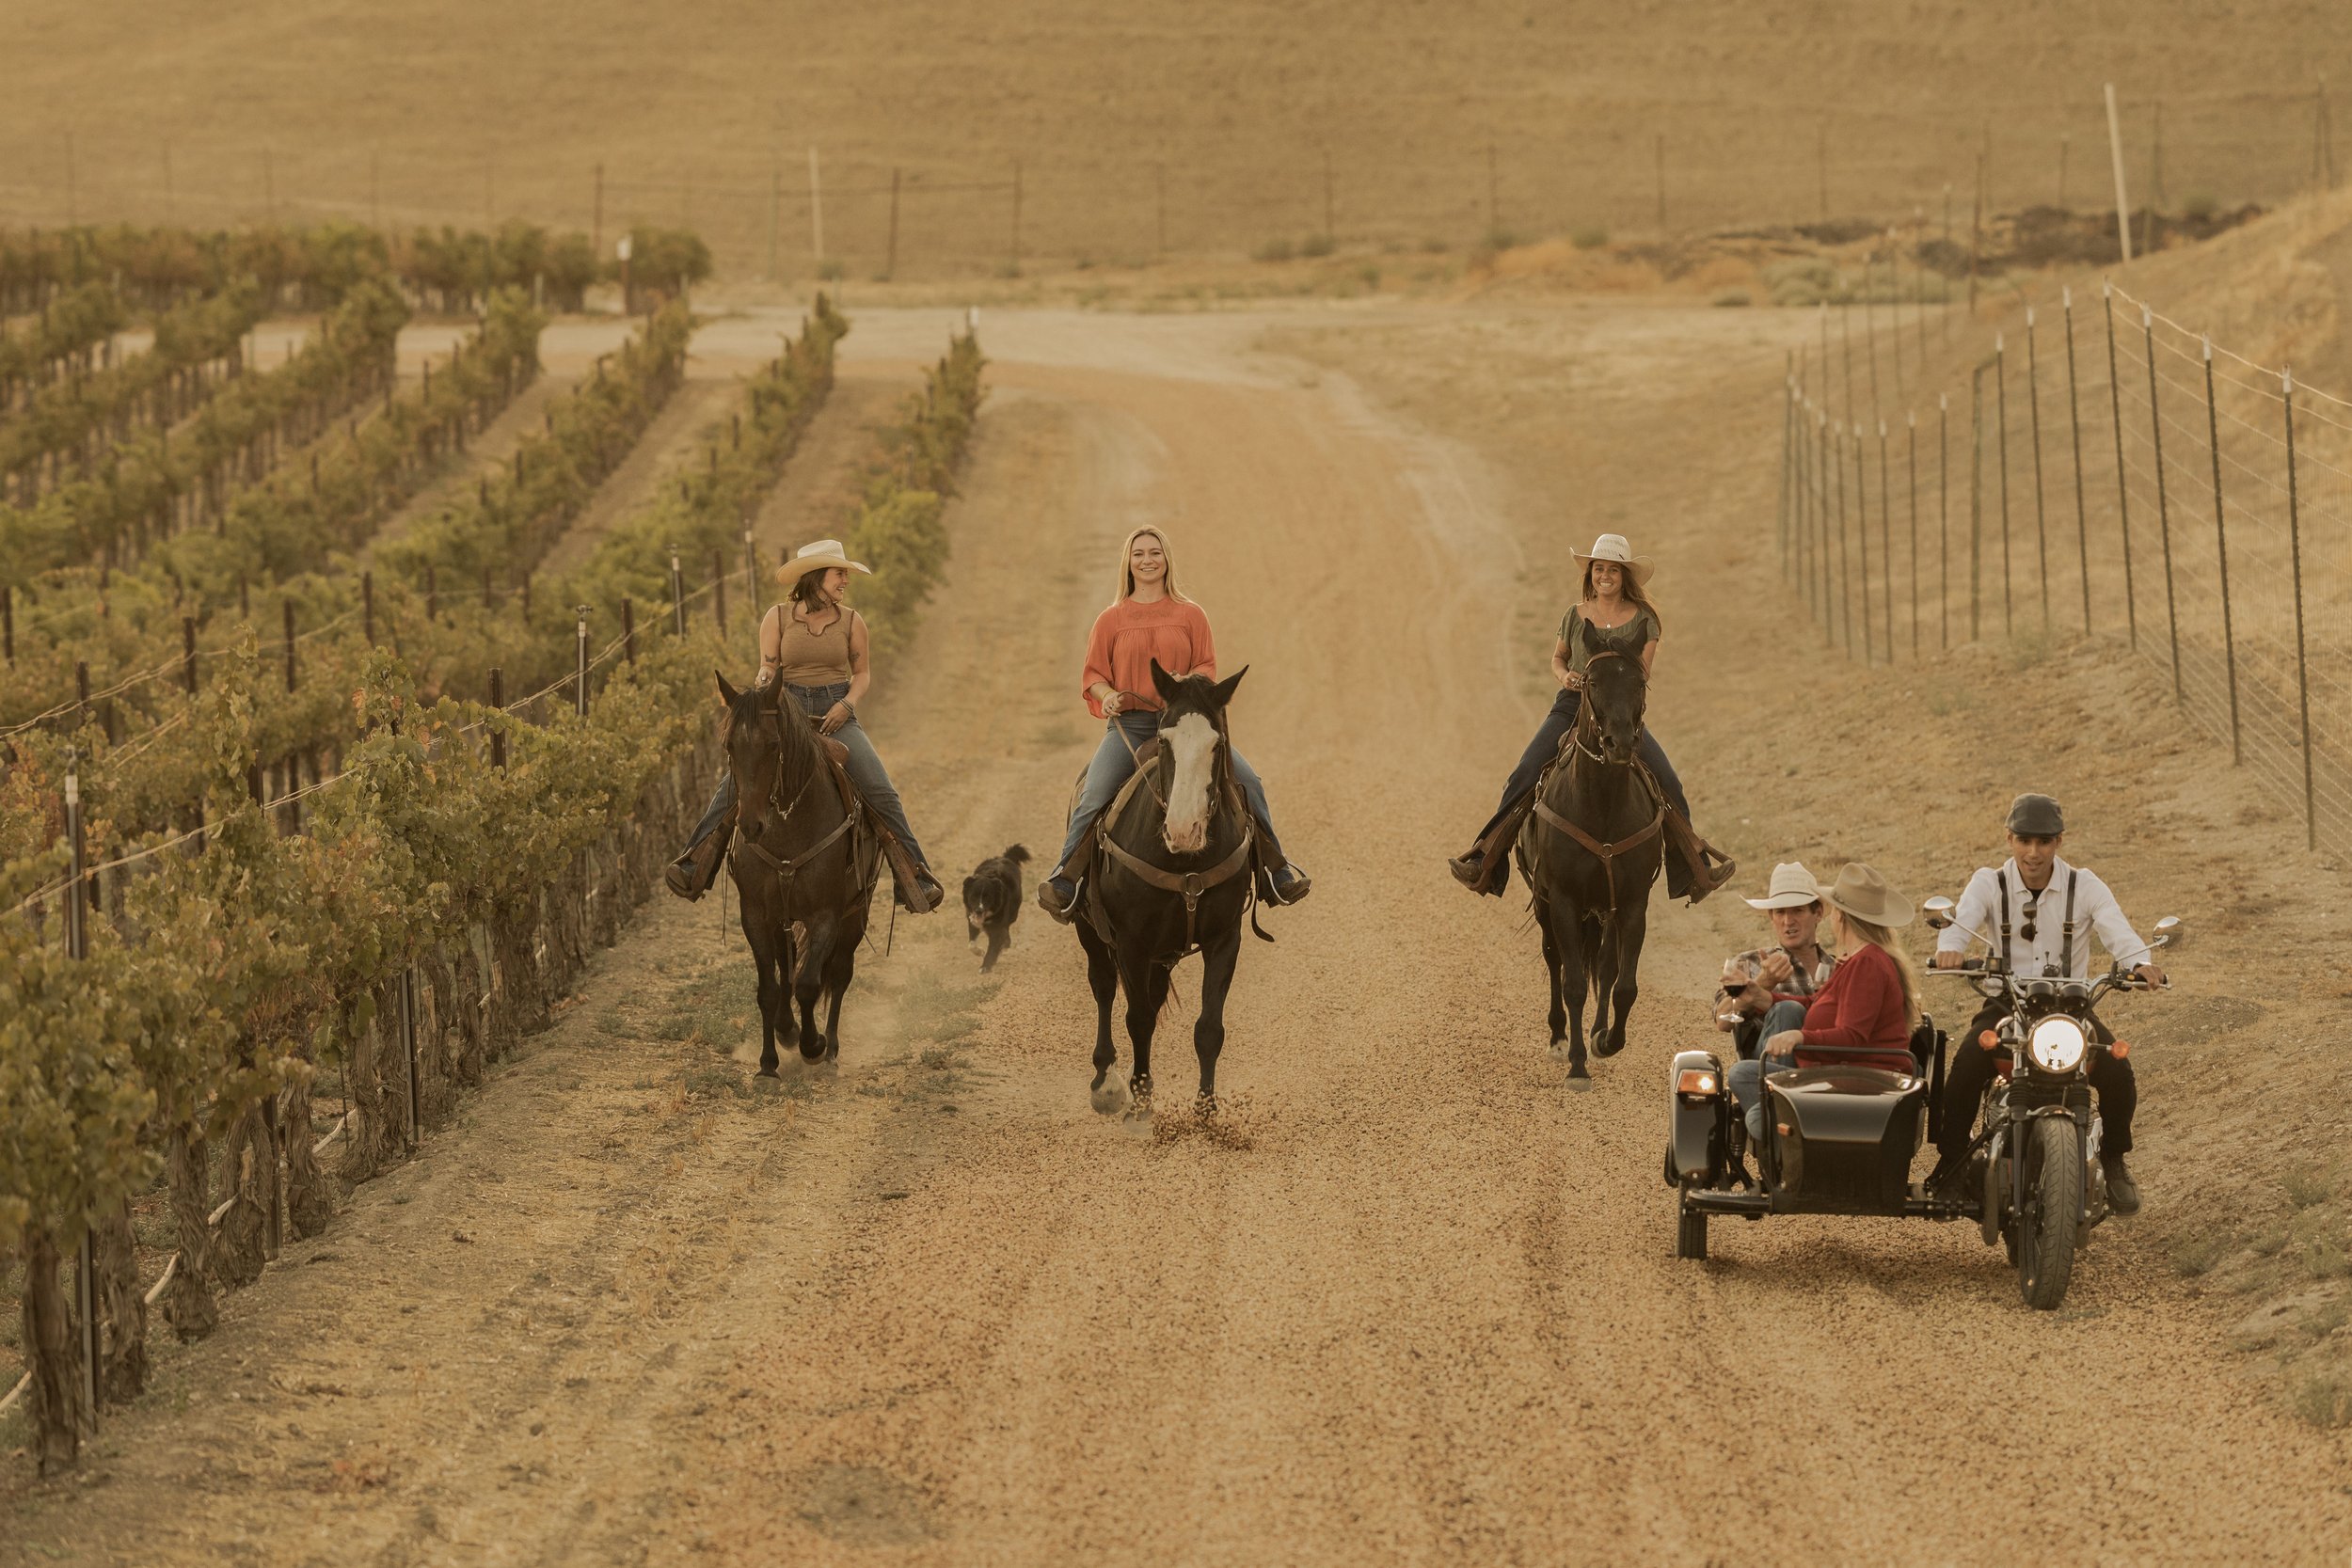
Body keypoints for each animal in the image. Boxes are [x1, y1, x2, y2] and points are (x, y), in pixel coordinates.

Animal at [710, 676, 880, 1081]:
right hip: (783, 920)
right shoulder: (756, 915)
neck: (788, 824)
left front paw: (812, 1045)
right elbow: (770, 988)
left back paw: (830, 1050)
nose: (751, 825)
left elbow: (808, 984)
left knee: (839, 974)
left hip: (855, 915)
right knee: (787, 971)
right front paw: (770, 1061)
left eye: (774, 744)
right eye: (729, 745)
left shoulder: (827, 916)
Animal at [964, 846, 1030, 968]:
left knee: (1006, 929)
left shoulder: (997, 926)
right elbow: (971, 944)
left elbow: (993, 947)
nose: (979, 910)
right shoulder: (972, 921)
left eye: (988, 897)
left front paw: (985, 967)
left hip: (1013, 913)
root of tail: (1006, 857)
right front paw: (980, 952)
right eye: (973, 896)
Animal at [1077, 657, 1270, 1114]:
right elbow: (1139, 1019)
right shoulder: (1130, 943)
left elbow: (1209, 1027)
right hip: (1089, 930)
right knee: (1103, 986)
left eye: (1217, 743)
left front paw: (1206, 1112)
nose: (1183, 830)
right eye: (1165, 741)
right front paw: (1141, 1106)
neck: (1185, 862)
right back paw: (1105, 1082)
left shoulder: (1225, 938)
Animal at [1515, 648, 1665, 1081]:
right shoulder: (1564, 900)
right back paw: (1558, 1038)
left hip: (1603, 911)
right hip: (1546, 903)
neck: (1602, 806)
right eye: (1592, 682)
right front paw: (1577, 1065)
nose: (1620, 743)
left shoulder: (1632, 903)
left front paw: (1606, 1042)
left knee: (1605, 964)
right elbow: (1575, 985)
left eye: (1639, 682)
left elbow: (1624, 983)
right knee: (1554, 959)